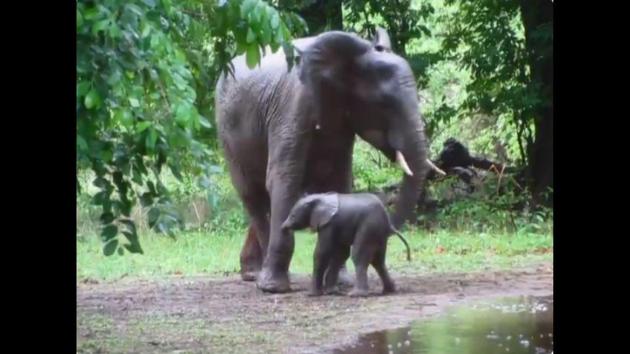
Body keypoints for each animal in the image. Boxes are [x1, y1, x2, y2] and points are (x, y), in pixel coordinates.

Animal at [280, 192, 410, 298]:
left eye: (293, 215)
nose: (283, 228)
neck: (320, 197)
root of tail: (389, 222)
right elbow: (340, 254)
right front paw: (331, 292)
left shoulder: (329, 224)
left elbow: (322, 252)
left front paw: (311, 295)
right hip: (379, 233)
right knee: (378, 261)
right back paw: (389, 291)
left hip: (369, 226)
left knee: (359, 256)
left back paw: (356, 294)